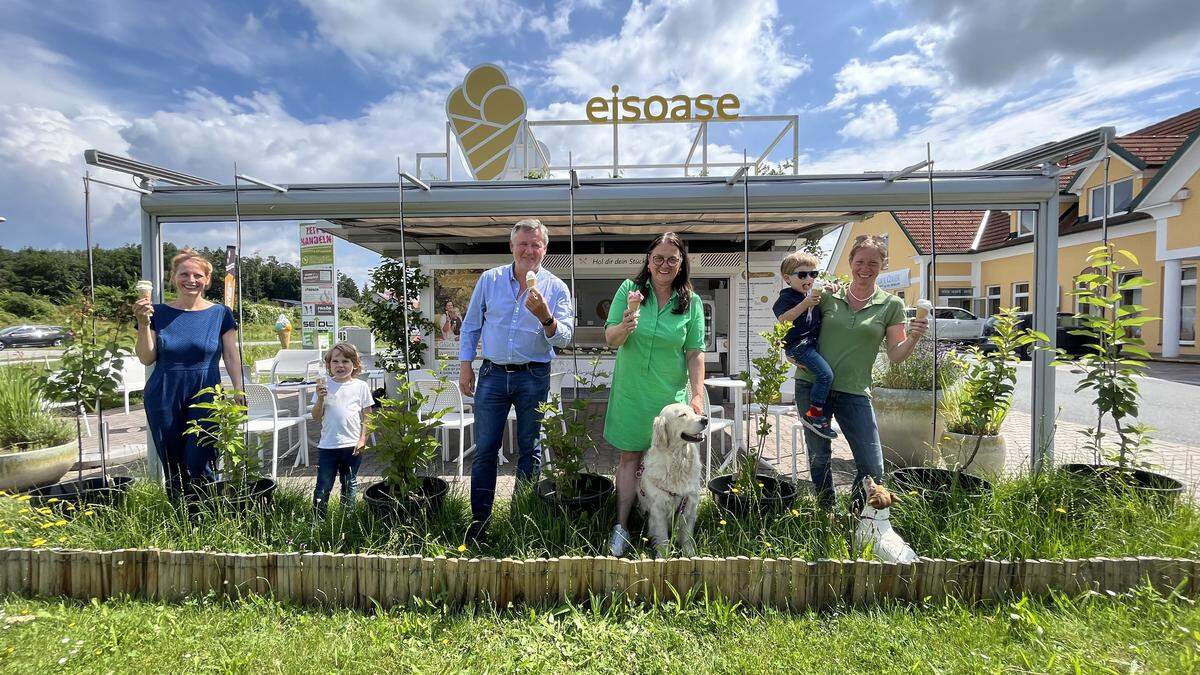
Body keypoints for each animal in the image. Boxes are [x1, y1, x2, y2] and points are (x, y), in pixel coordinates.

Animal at [643, 401, 705, 554]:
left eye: (694, 411)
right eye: (682, 415)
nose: (705, 419)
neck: (678, 460)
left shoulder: (689, 505)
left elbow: (687, 537)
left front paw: (690, 555)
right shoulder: (658, 510)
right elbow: (663, 538)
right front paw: (663, 556)